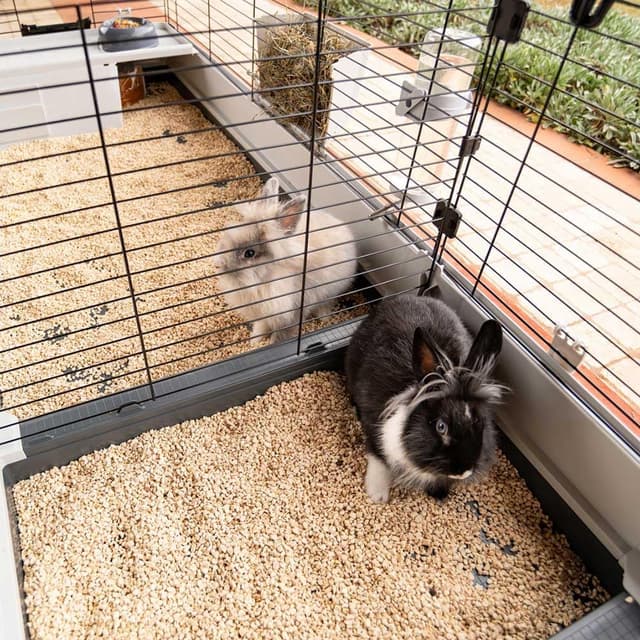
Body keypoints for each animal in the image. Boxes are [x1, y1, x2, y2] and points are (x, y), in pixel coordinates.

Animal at [215, 177, 358, 345]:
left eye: (249, 253)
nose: (218, 264)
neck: (263, 281)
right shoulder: (264, 315)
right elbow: (261, 327)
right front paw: (255, 341)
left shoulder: (291, 314)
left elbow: (281, 336)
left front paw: (269, 344)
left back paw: (324, 317)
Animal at [345, 292, 506, 503]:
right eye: (441, 427)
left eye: (480, 423)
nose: (462, 471)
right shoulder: (374, 425)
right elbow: (378, 456)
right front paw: (377, 494)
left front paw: (440, 494)